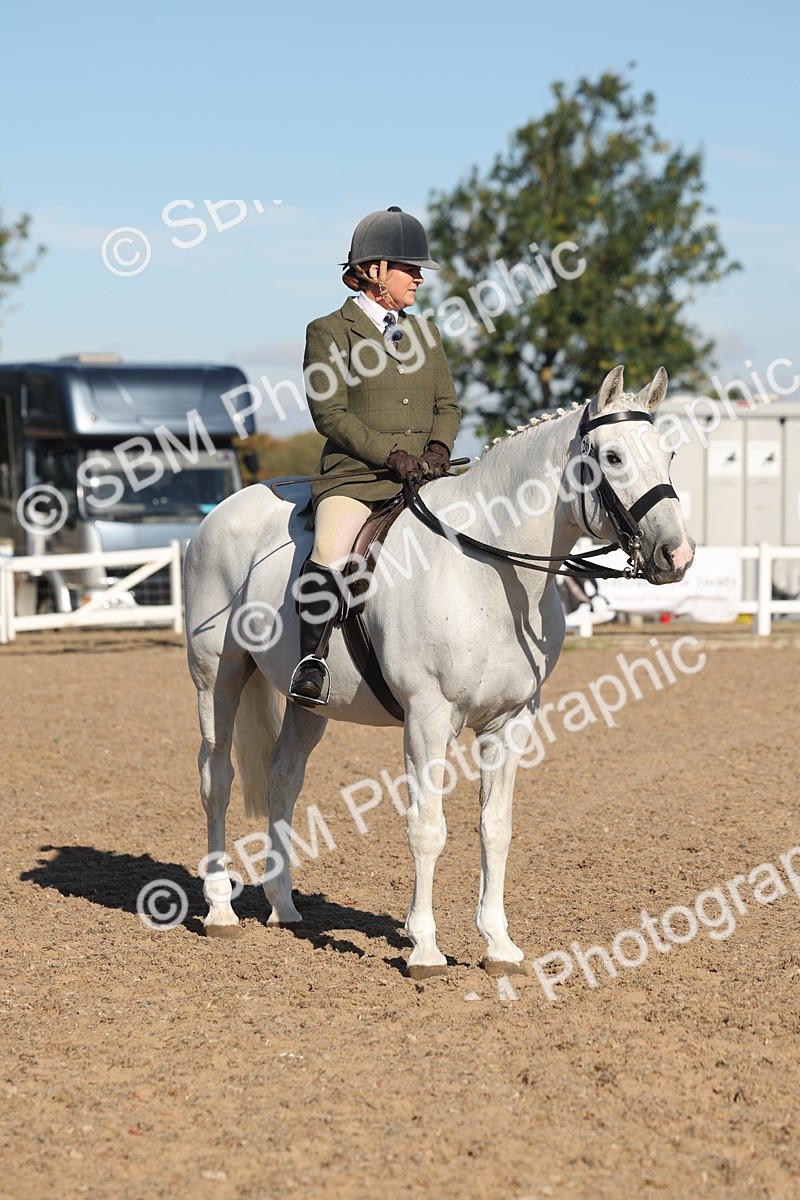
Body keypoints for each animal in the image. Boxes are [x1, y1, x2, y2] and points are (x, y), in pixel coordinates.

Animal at [183, 365, 694, 978]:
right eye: (613, 457)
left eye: (669, 454)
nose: (676, 555)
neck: (490, 572)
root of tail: (223, 511)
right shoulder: (428, 719)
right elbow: (427, 829)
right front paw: (424, 948)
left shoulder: (511, 722)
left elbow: (495, 828)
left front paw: (499, 945)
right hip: (218, 676)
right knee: (216, 778)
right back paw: (220, 911)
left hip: (311, 701)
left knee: (284, 776)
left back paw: (283, 906)